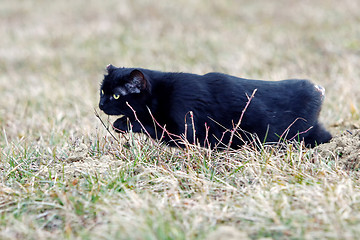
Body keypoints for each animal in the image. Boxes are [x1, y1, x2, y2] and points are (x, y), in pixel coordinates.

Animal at [99, 64, 332, 149]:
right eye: (102, 91)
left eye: (116, 95)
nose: (100, 105)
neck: (162, 91)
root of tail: (317, 89)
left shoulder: (184, 128)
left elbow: (154, 126)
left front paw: (123, 123)